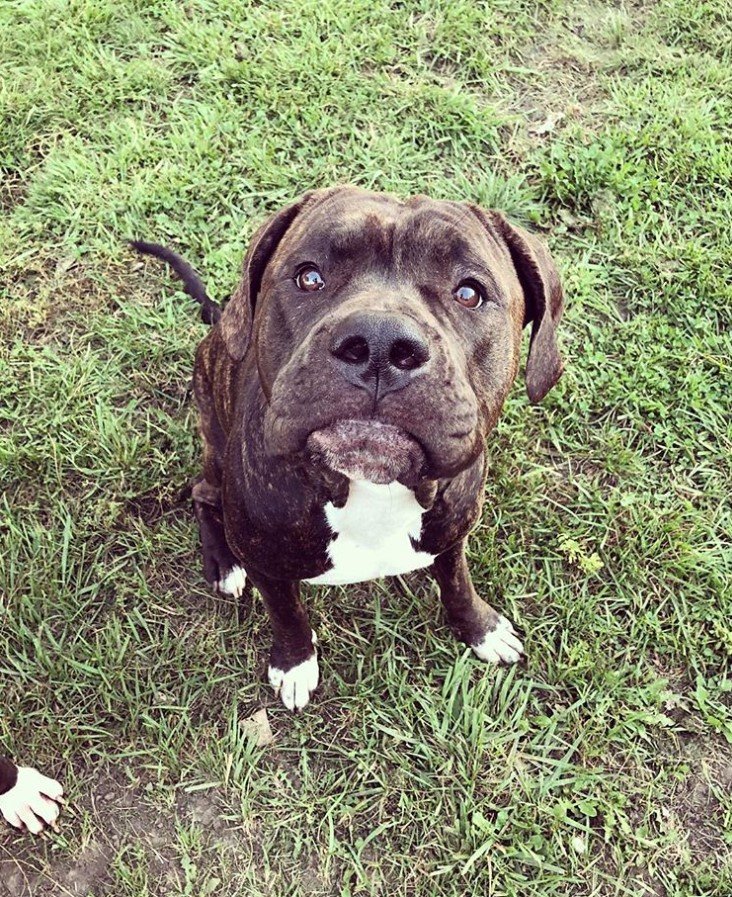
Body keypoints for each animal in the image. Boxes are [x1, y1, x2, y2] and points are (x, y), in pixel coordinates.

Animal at [133, 186, 568, 712]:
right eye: (309, 276)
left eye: (469, 292)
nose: (380, 343)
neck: (366, 489)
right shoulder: (267, 567)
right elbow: (287, 613)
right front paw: (295, 663)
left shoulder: (452, 531)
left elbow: (457, 581)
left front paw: (480, 628)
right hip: (213, 446)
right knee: (201, 493)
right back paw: (223, 563)